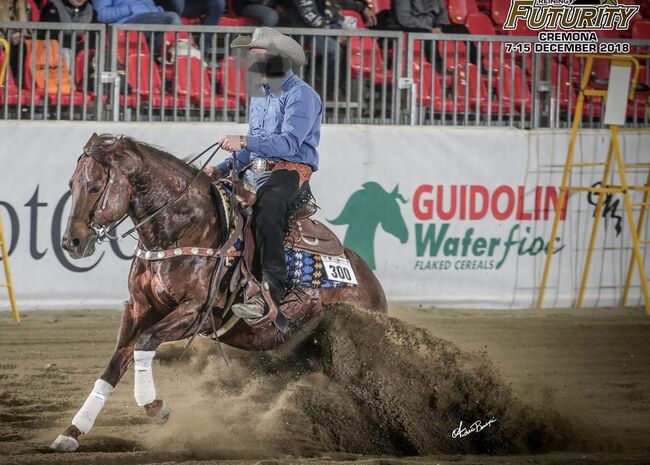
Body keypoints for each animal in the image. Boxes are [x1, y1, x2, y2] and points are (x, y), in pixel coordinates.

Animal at [50, 133, 388, 450]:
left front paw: (155, 407)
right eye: (71, 183)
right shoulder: (138, 308)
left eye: (95, 187)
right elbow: (116, 361)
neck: (184, 227)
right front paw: (72, 432)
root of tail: (373, 286)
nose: (71, 242)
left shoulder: (196, 311)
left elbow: (144, 344)